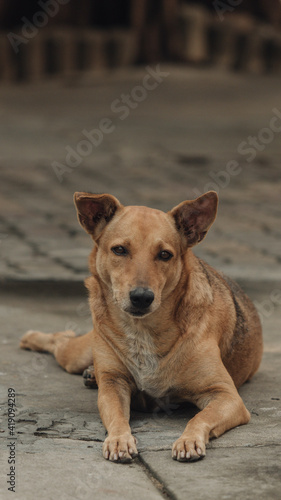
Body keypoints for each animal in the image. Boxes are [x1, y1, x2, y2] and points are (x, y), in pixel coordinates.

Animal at [20, 190, 262, 460]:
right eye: (119, 250)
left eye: (165, 254)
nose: (142, 297)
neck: (142, 330)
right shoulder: (113, 387)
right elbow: (117, 416)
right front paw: (119, 439)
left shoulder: (227, 396)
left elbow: (200, 417)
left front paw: (188, 439)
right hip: (78, 354)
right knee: (61, 340)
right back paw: (34, 340)